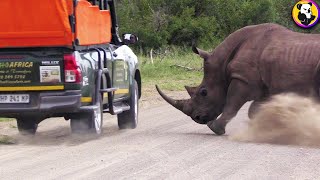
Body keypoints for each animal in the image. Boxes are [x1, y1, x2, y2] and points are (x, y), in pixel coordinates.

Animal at [156, 22, 320, 135]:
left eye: (204, 92)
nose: (197, 118)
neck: (222, 63)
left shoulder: (243, 78)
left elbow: (232, 103)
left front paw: (215, 128)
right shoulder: (264, 85)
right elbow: (254, 109)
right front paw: (267, 126)